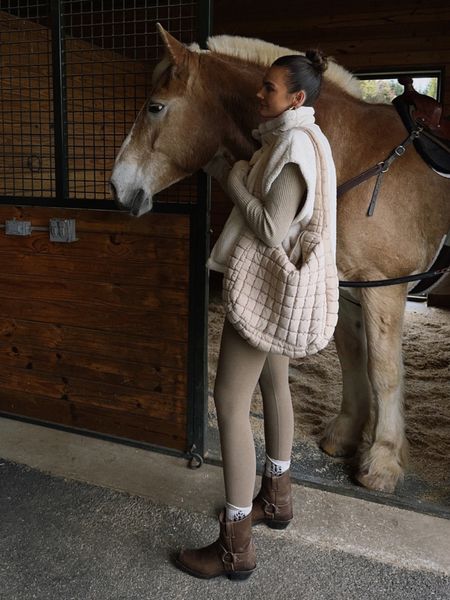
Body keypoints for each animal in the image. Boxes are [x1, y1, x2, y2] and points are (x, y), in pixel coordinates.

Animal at [110, 24, 450, 492]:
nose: (116, 186)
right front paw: (346, 435)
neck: (351, 156)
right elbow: (352, 359)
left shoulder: (384, 287)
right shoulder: (346, 289)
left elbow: (384, 370)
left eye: (156, 107)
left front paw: (382, 461)